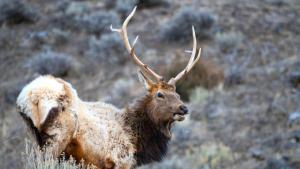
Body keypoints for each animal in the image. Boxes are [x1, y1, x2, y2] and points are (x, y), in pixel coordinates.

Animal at [17, 6, 202, 169]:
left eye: (177, 94)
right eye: (160, 94)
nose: (184, 108)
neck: (135, 138)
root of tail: (30, 96)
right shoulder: (120, 160)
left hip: (36, 138)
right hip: (57, 137)